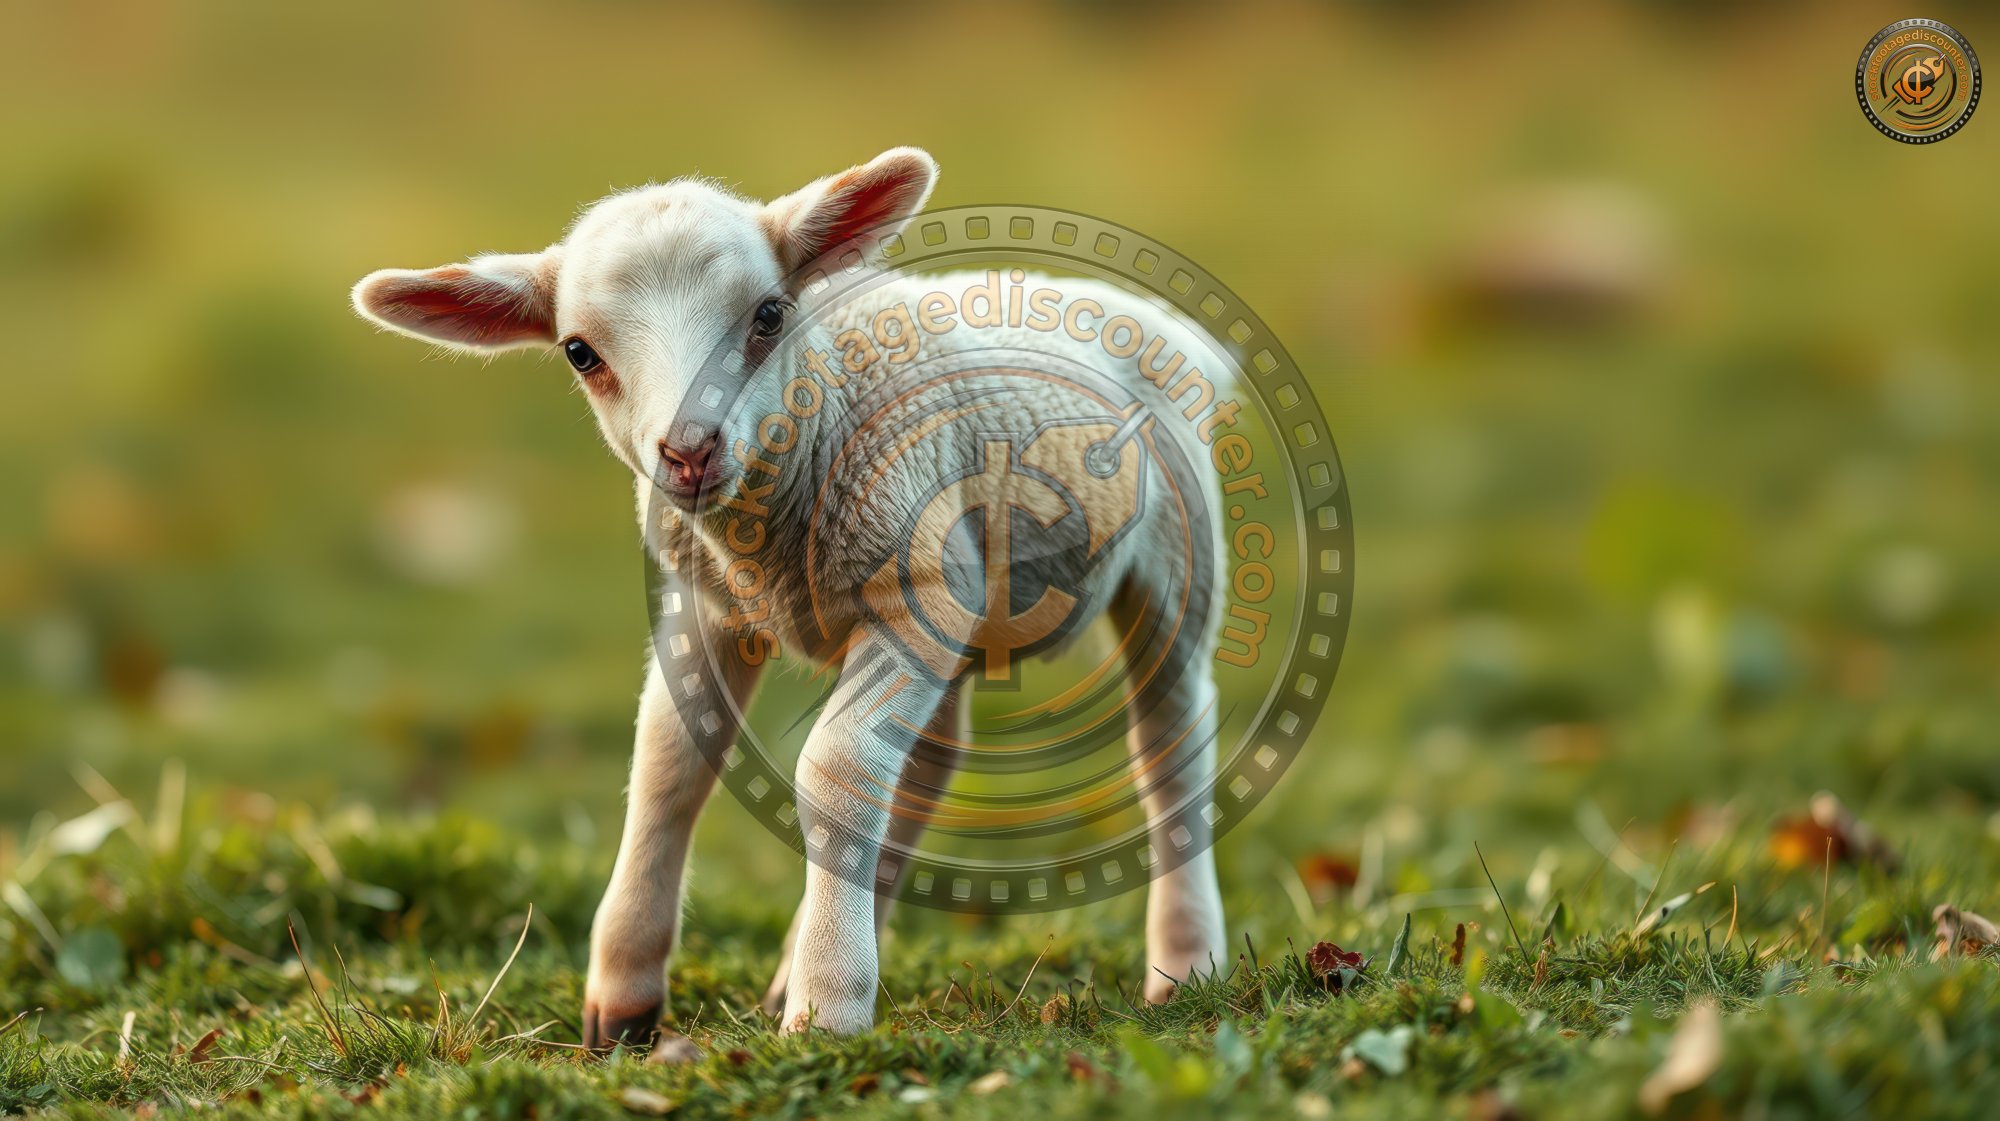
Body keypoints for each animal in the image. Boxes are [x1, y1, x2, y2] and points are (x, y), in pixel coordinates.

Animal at [352, 148, 1232, 1052]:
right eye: (579, 352)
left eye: (770, 314)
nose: (689, 451)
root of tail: (1151, 318)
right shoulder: (708, 608)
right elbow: (669, 764)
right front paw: (624, 997)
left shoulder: (908, 592)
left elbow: (836, 768)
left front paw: (828, 1004)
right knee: (928, 760)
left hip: (1175, 557)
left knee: (1169, 741)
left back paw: (1186, 961)